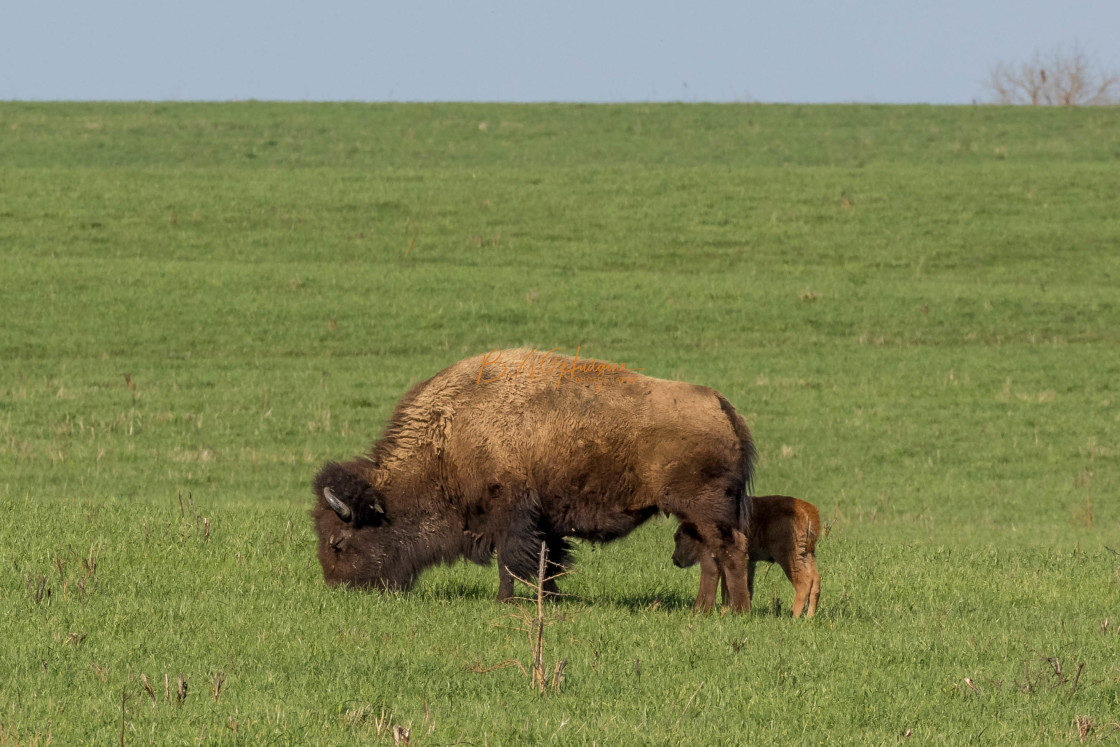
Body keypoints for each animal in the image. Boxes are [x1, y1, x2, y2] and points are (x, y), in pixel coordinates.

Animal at [311, 347, 757, 609]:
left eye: (337, 543)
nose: (338, 590)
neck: (448, 433)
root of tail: (722, 406)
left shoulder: (510, 515)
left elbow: (511, 561)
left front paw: (504, 602)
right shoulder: (544, 522)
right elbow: (548, 562)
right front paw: (552, 600)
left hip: (705, 509)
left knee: (731, 550)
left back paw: (737, 610)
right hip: (693, 514)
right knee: (711, 556)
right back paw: (704, 610)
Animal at [667, 497, 819, 618]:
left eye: (679, 537)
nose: (674, 559)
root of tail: (806, 509)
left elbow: (726, 589)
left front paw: (724, 615)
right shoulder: (747, 563)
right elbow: (743, 587)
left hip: (788, 555)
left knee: (804, 582)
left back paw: (793, 616)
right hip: (807, 555)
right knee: (815, 581)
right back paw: (809, 617)